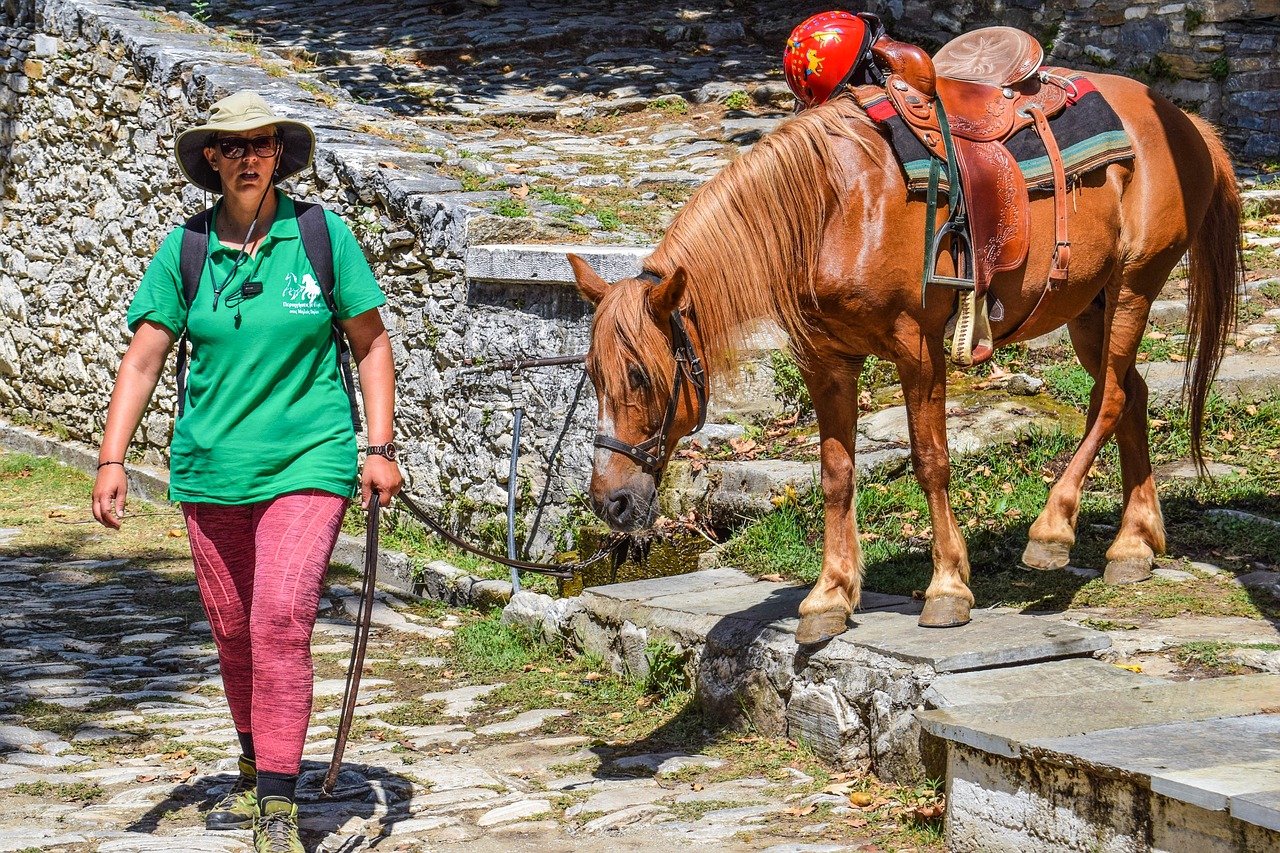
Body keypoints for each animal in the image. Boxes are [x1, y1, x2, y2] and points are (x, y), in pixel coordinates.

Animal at [568, 73, 1239, 640]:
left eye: (640, 375)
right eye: (591, 375)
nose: (609, 501)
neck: (835, 207)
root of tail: (1185, 123)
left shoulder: (916, 348)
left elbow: (930, 461)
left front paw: (947, 588)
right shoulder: (826, 362)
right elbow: (835, 475)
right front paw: (829, 596)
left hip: (1132, 288)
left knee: (1113, 397)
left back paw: (1054, 530)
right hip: (1088, 306)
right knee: (1133, 396)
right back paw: (1134, 544)